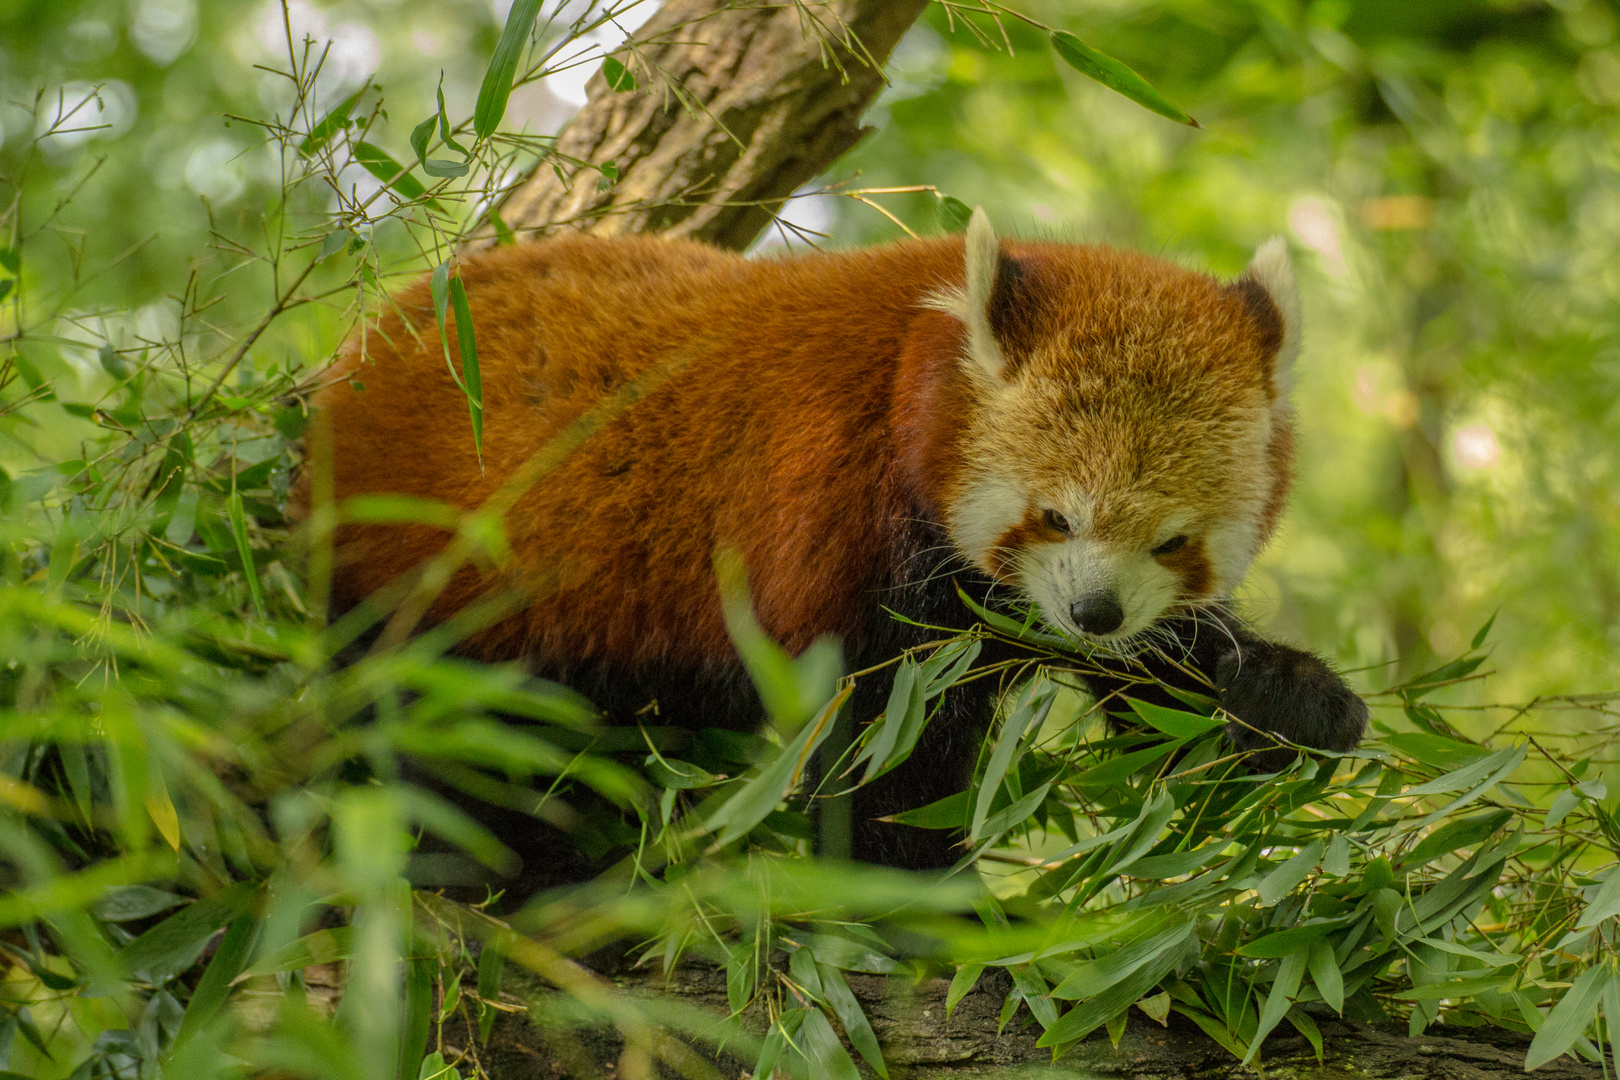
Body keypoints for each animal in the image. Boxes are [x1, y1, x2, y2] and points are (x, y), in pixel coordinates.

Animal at [304, 208, 1367, 867]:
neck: (918, 367)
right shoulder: (836, 505)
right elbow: (884, 751)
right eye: (1057, 515)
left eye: (1173, 541)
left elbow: (1166, 698)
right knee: (462, 741)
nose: (1093, 611)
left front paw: (1282, 700)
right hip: (447, 571)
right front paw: (931, 906)